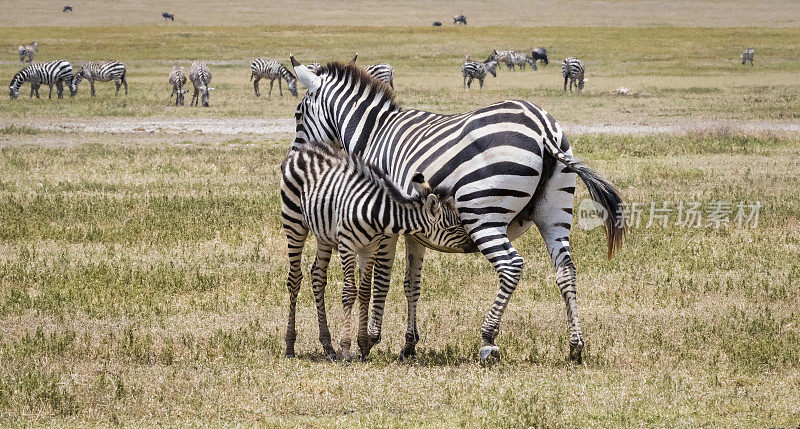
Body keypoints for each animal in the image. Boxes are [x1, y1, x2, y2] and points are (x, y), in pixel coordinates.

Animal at [282, 142, 462, 360]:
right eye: (452, 228)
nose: (473, 244)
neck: (376, 213)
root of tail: (305, 149)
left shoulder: (370, 249)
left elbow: (366, 292)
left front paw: (362, 344)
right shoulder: (348, 246)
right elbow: (349, 291)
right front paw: (346, 349)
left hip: (322, 232)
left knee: (317, 276)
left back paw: (327, 345)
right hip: (294, 222)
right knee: (294, 278)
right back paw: (290, 345)